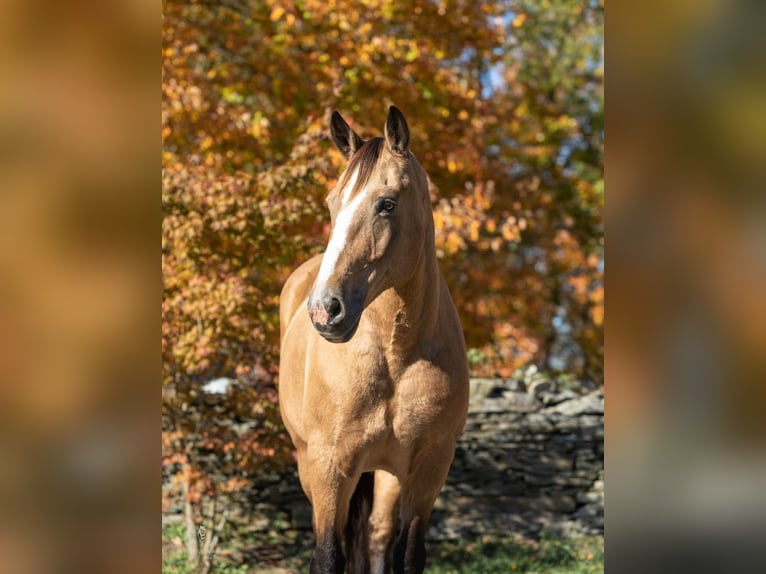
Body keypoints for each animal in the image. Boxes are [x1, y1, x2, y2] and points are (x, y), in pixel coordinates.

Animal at [276, 108, 468, 574]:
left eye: (386, 204)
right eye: (332, 203)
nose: (325, 310)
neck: (395, 354)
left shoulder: (430, 465)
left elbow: (407, 555)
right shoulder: (329, 465)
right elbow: (328, 555)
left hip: (387, 472)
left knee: (378, 536)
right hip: (311, 463)